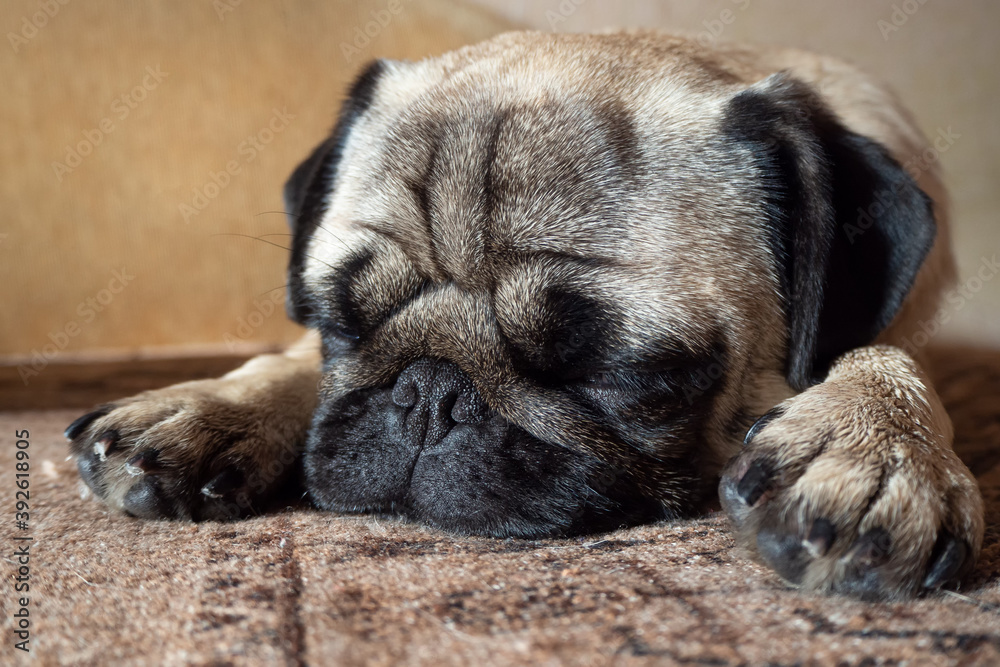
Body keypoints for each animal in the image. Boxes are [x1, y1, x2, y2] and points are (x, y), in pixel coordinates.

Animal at [64, 31, 984, 604]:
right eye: (339, 320)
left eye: (623, 373)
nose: (429, 393)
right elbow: (282, 364)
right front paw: (215, 404)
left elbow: (880, 356)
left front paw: (879, 444)